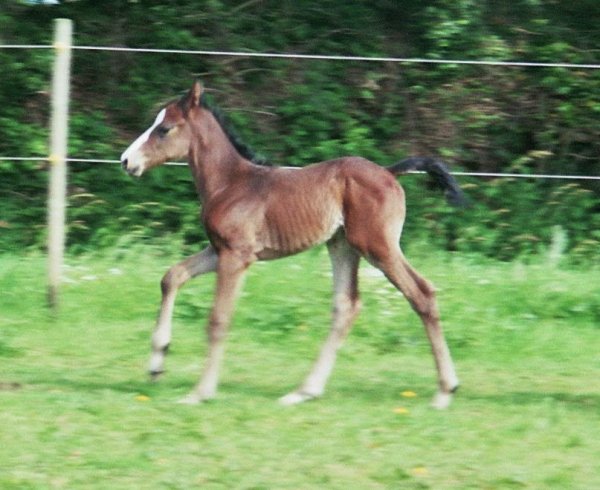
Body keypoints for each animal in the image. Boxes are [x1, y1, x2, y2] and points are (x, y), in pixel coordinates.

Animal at [119, 81, 462, 410]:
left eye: (164, 129)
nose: (126, 161)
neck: (229, 183)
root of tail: (389, 172)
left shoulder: (236, 255)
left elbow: (218, 319)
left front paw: (200, 393)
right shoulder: (220, 250)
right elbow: (171, 276)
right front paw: (157, 362)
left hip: (377, 246)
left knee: (422, 293)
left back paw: (445, 391)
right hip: (342, 246)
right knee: (346, 305)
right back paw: (303, 391)